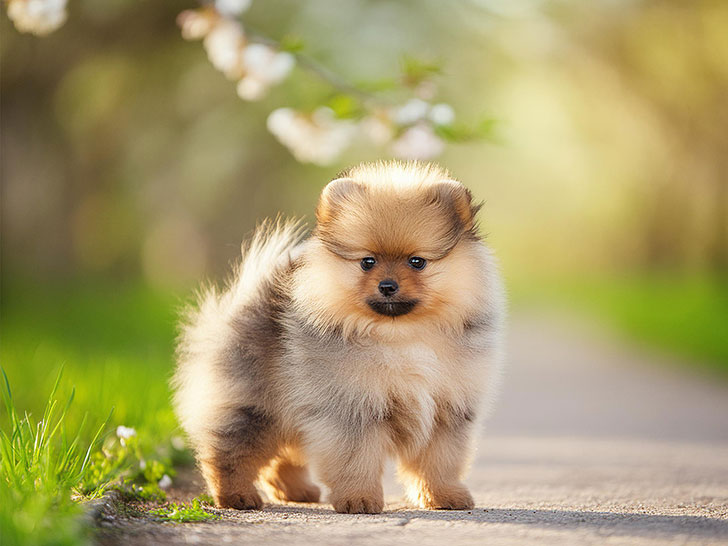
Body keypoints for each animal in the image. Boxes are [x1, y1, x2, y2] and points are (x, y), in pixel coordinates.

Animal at [173, 159, 504, 512]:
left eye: (417, 262)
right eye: (367, 262)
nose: (387, 286)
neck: (401, 334)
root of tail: (256, 295)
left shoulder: (447, 409)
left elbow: (439, 460)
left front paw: (443, 495)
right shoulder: (352, 408)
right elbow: (356, 459)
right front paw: (359, 499)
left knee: (284, 454)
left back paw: (296, 490)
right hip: (257, 403)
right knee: (230, 448)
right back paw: (236, 495)